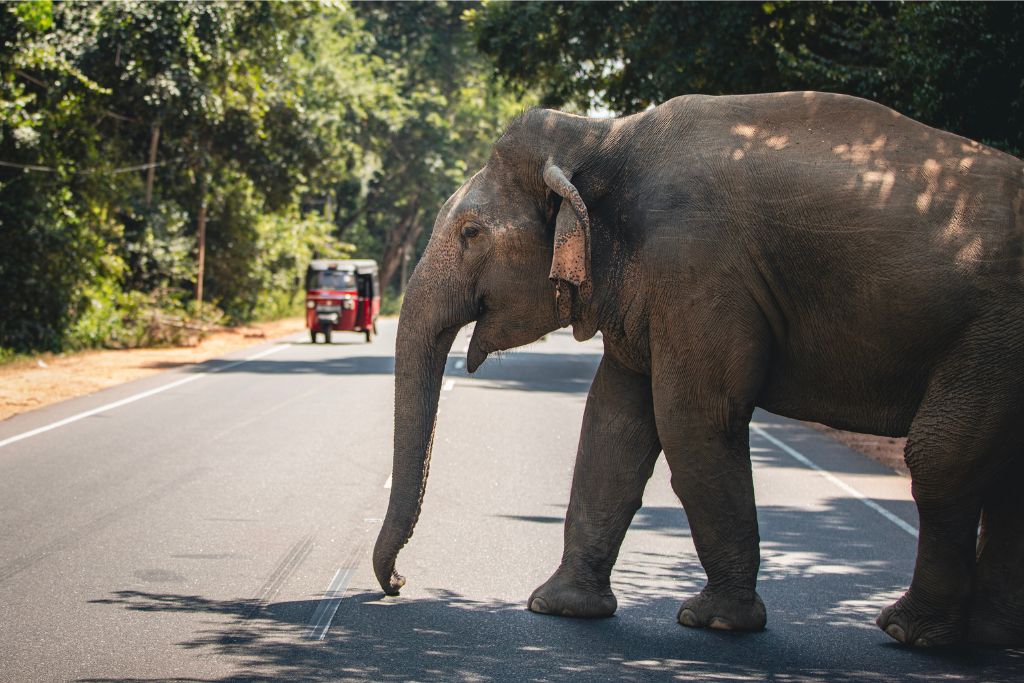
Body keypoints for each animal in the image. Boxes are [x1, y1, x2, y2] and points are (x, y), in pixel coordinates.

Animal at [374, 89, 1024, 647]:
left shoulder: (696, 264)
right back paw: (991, 634)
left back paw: (908, 632)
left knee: (940, 459)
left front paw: (712, 622)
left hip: (993, 337)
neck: (601, 136)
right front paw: (557, 608)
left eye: (470, 232)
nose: (398, 585)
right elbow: (613, 420)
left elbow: (691, 418)